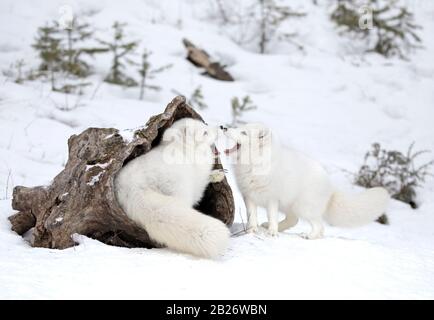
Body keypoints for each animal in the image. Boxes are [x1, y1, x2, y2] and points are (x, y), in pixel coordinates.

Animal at [115, 119, 231, 258]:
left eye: (205, 124)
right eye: (205, 132)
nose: (222, 127)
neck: (184, 151)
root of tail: (133, 189)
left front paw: (216, 174)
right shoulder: (197, 184)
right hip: (181, 190)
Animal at [220, 124, 390, 239]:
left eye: (243, 132)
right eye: (239, 127)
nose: (224, 127)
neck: (255, 165)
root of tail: (330, 186)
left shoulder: (272, 198)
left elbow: (272, 216)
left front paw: (272, 233)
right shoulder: (248, 195)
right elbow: (251, 216)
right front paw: (251, 230)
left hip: (304, 207)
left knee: (319, 226)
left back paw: (309, 235)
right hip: (291, 206)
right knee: (294, 220)